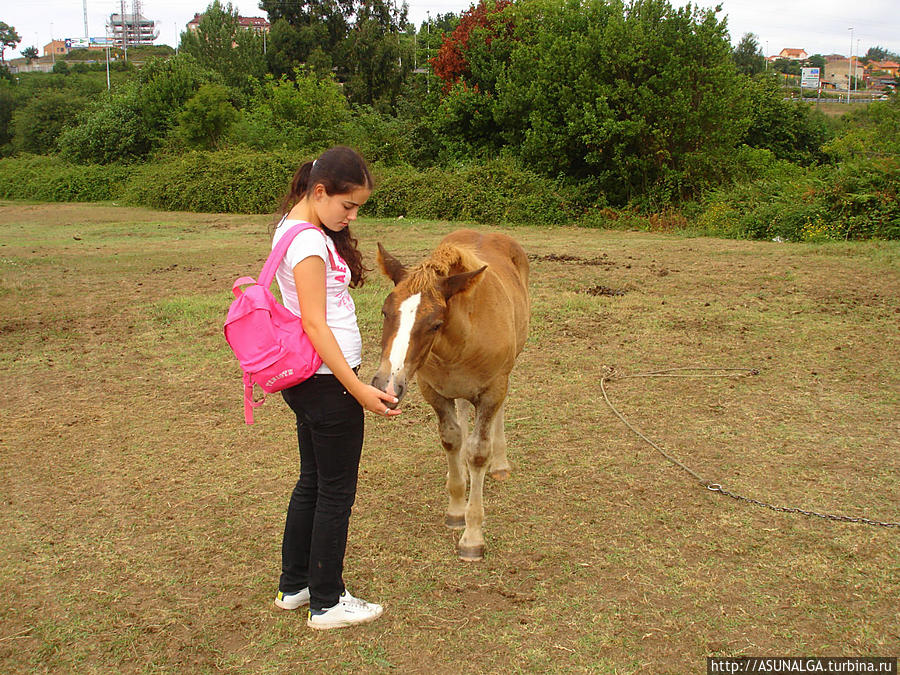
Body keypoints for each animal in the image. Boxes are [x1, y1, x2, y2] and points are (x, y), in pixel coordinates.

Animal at [370, 231, 532, 560]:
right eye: (384, 312)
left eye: (435, 324)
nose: (387, 386)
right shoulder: (433, 391)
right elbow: (451, 439)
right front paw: (457, 508)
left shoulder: (492, 390)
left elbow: (478, 452)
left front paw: (472, 536)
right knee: (462, 415)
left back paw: (500, 465)